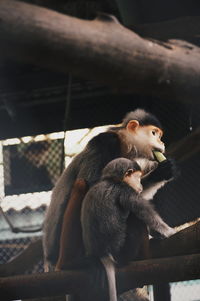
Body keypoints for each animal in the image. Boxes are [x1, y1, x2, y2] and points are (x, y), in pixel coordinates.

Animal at [80, 157, 174, 300]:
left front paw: (163, 172)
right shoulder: (124, 191)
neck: (111, 181)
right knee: (135, 219)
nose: (140, 185)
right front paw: (169, 232)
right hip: (122, 253)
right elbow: (143, 212)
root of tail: (103, 254)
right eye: (138, 178)